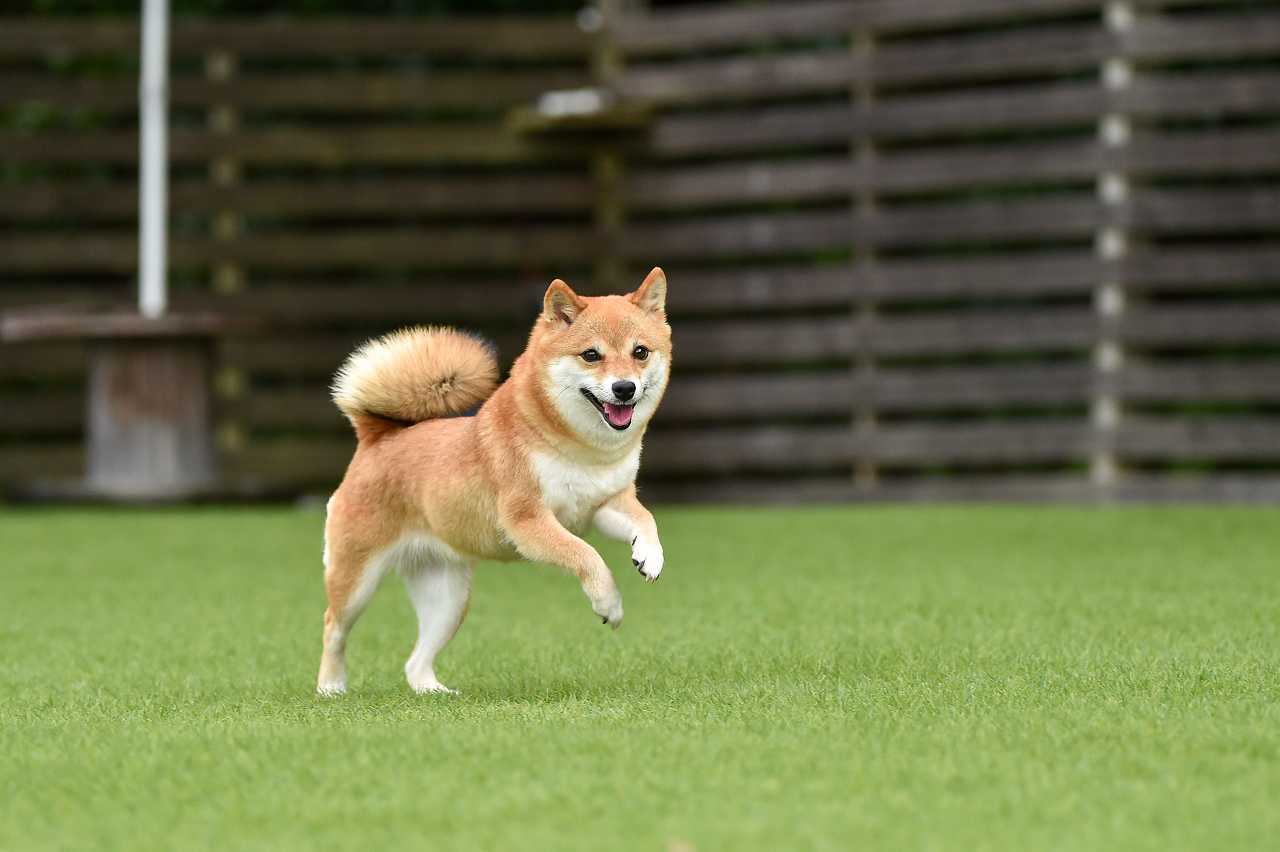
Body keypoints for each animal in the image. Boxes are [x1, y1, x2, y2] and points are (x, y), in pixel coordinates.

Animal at [317, 268, 670, 695]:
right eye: (591, 355)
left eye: (640, 352)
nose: (624, 388)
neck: (581, 449)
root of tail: (376, 437)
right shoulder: (527, 519)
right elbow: (587, 555)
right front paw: (609, 604)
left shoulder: (604, 503)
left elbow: (645, 519)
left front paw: (649, 556)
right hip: (356, 578)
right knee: (333, 628)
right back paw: (330, 688)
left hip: (448, 598)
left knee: (415, 662)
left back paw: (434, 692)